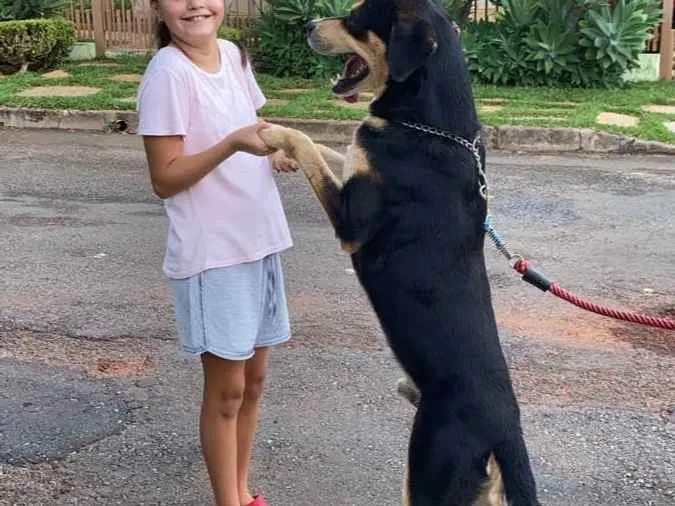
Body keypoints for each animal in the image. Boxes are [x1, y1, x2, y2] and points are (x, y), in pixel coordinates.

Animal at [256, 1, 540, 504]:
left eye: (355, 18)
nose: (307, 24)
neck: (434, 126)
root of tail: (507, 430)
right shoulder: (354, 170)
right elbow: (332, 148)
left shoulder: (351, 224)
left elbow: (308, 143)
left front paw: (274, 135)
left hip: (427, 471)